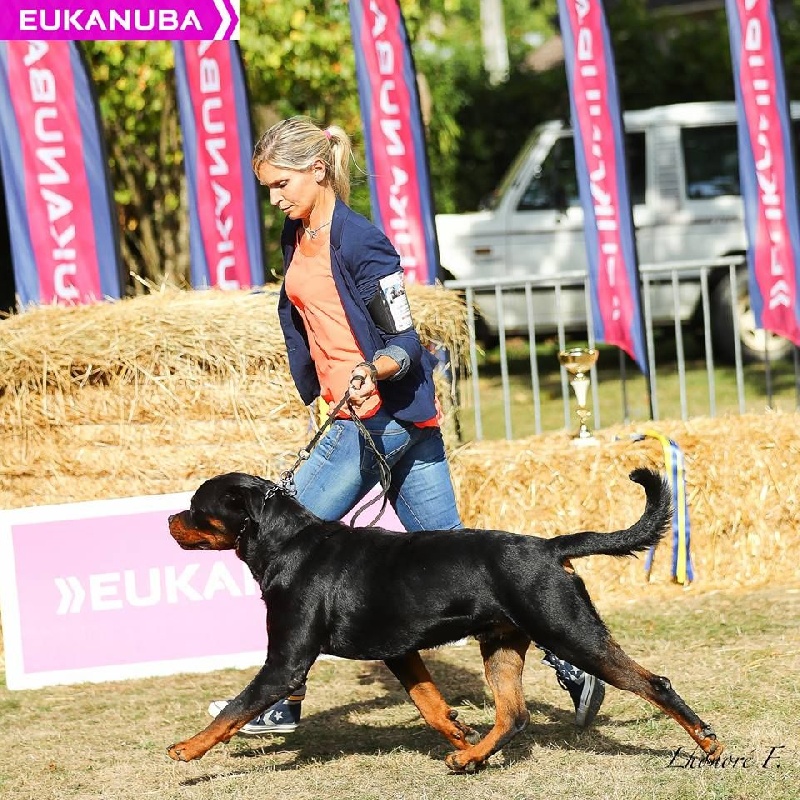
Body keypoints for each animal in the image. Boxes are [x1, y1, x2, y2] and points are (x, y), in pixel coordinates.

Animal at [166, 466, 720, 772]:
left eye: (195, 506)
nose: (169, 519)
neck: (286, 544)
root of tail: (548, 547)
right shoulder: (400, 651)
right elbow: (429, 703)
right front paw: (458, 735)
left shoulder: (286, 662)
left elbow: (234, 709)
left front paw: (187, 749)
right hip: (502, 643)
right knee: (513, 715)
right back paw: (470, 759)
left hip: (567, 628)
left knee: (654, 683)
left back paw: (709, 744)